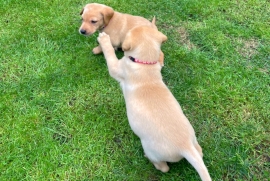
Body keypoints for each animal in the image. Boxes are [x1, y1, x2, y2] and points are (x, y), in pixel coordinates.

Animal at [96, 27, 211, 181]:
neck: (145, 63)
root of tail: (186, 146)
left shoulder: (117, 67)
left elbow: (110, 55)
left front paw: (104, 39)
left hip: (152, 149)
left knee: (164, 168)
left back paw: (149, 159)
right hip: (195, 142)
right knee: (200, 152)